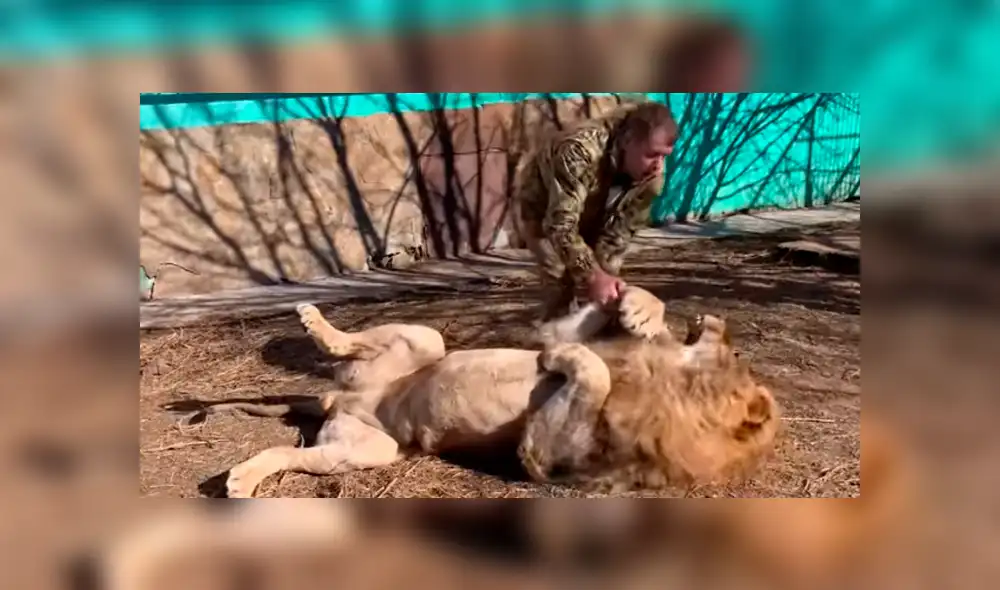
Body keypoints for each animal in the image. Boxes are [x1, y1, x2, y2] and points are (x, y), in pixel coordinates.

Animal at [184, 286, 779, 498]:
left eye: (736, 354)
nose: (712, 319)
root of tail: (344, 401)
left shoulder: (541, 453)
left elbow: (591, 372)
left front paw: (569, 361)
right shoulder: (563, 331)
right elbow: (594, 332)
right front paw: (634, 308)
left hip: (368, 450)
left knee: (286, 452)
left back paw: (240, 480)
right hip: (425, 341)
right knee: (348, 346)